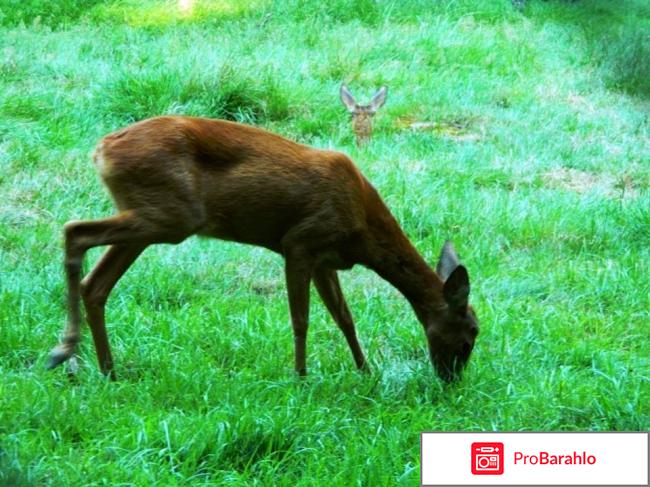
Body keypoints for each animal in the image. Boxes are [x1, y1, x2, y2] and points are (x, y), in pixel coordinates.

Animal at [46, 116, 476, 384]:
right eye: (470, 334)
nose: (451, 379)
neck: (362, 229)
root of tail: (101, 150)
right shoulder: (299, 242)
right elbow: (301, 319)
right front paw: (301, 377)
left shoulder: (326, 259)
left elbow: (344, 317)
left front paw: (365, 370)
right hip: (171, 216)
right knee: (75, 231)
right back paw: (64, 352)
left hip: (151, 217)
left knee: (96, 284)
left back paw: (108, 370)